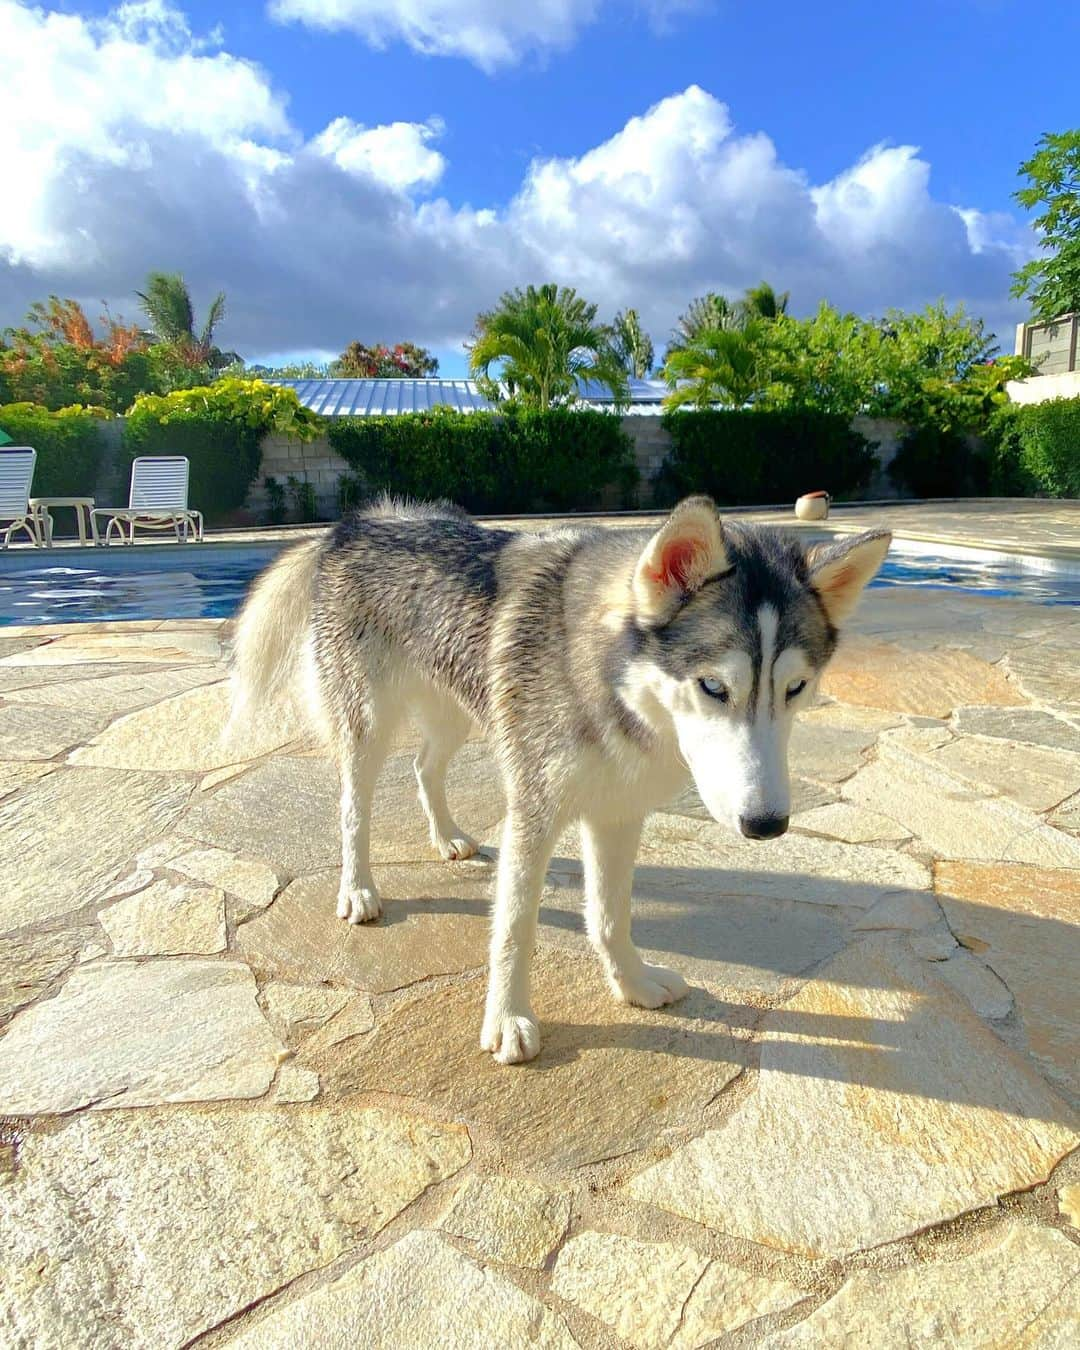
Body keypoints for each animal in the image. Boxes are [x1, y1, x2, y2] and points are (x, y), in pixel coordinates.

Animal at [228, 496, 885, 1063]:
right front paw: (507, 1021)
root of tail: (353, 524)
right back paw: (358, 888)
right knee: (353, 808)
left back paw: (447, 837)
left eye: (796, 688)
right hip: (369, 725)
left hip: (459, 711)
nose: (767, 825)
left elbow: (612, 914)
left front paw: (633, 983)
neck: (605, 683)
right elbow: (515, 928)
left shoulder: (617, 812)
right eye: (713, 687)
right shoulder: (533, 812)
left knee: (423, 765)